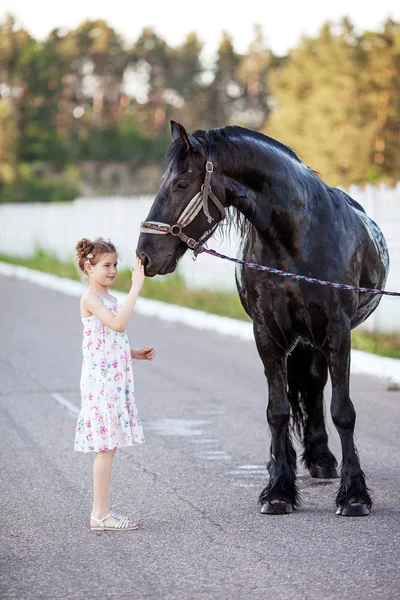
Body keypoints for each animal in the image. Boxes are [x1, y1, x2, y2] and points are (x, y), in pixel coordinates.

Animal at [136, 120, 390, 516]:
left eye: (181, 184)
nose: (145, 255)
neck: (295, 240)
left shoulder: (337, 333)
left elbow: (343, 411)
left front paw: (353, 496)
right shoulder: (267, 334)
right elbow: (277, 411)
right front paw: (279, 491)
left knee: (316, 387)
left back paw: (322, 460)